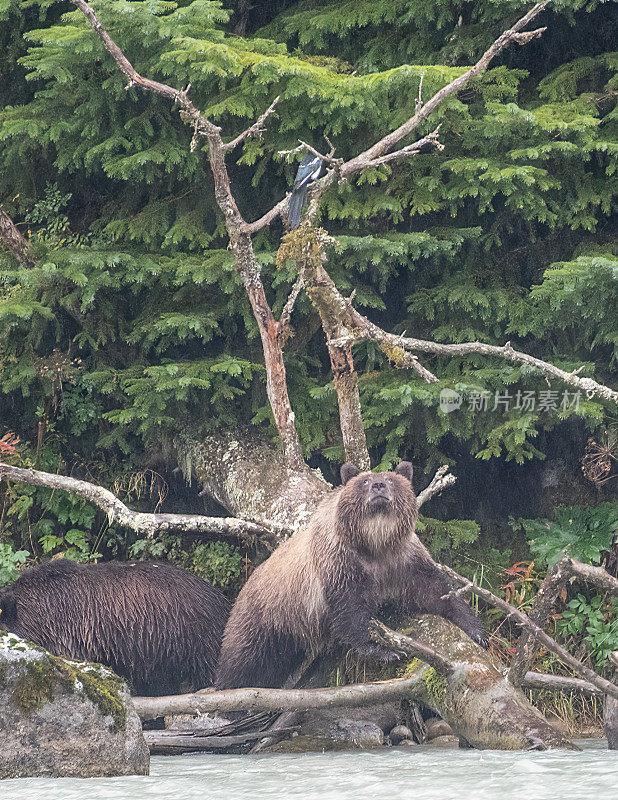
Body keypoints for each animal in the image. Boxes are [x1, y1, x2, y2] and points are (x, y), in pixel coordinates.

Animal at [217, 460, 486, 692]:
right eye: (365, 480)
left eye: (390, 478)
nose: (379, 486)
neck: (375, 543)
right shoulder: (339, 565)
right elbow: (351, 612)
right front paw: (385, 650)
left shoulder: (404, 558)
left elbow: (433, 590)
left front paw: (476, 629)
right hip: (265, 617)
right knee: (244, 661)